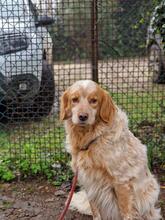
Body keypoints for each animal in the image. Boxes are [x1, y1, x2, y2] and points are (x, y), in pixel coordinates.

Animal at [59, 80, 161, 219]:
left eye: (93, 101)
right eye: (74, 99)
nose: (83, 116)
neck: (92, 138)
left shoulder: (121, 181)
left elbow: (127, 213)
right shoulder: (89, 181)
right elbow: (95, 212)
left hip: (151, 191)